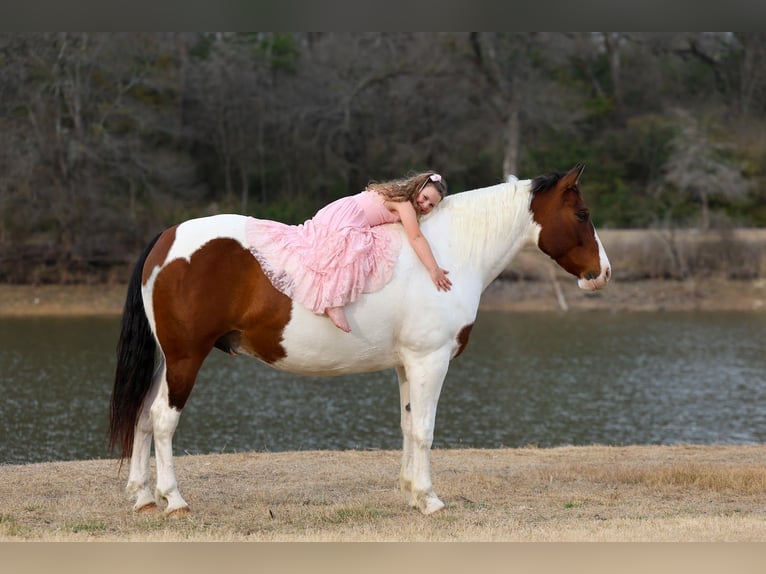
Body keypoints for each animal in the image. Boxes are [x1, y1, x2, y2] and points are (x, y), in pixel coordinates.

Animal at [109, 163, 611, 516]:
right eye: (583, 214)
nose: (601, 274)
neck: (448, 252)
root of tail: (168, 238)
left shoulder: (408, 364)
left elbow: (408, 427)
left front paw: (411, 494)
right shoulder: (430, 361)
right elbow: (425, 431)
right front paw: (430, 500)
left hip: (166, 360)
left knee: (143, 417)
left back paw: (144, 498)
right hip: (185, 359)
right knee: (163, 419)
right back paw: (173, 500)